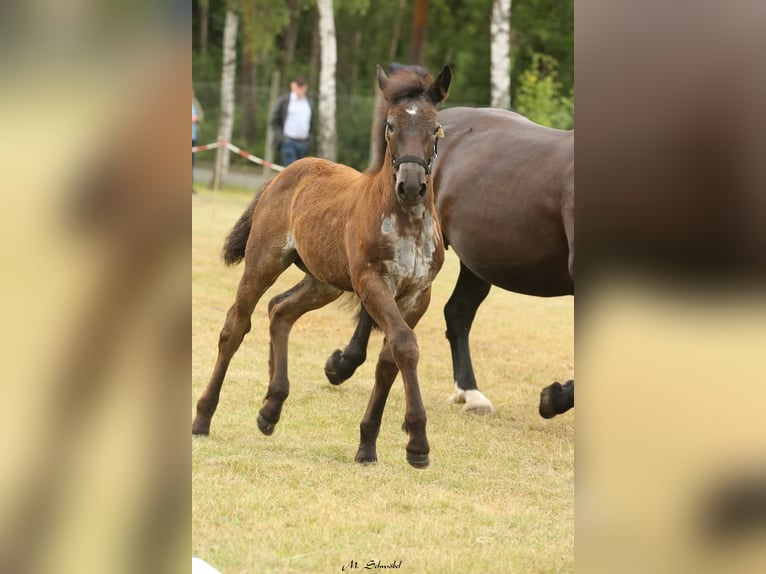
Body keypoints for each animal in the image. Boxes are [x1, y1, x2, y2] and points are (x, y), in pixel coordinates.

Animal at [192, 65, 452, 468]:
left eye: (435, 128)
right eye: (391, 126)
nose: (411, 185)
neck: (406, 219)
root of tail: (284, 172)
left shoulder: (416, 296)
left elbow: (389, 359)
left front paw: (367, 445)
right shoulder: (372, 283)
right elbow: (406, 346)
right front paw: (418, 443)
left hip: (322, 281)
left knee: (280, 310)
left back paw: (271, 409)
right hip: (264, 262)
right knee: (236, 325)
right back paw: (203, 417)